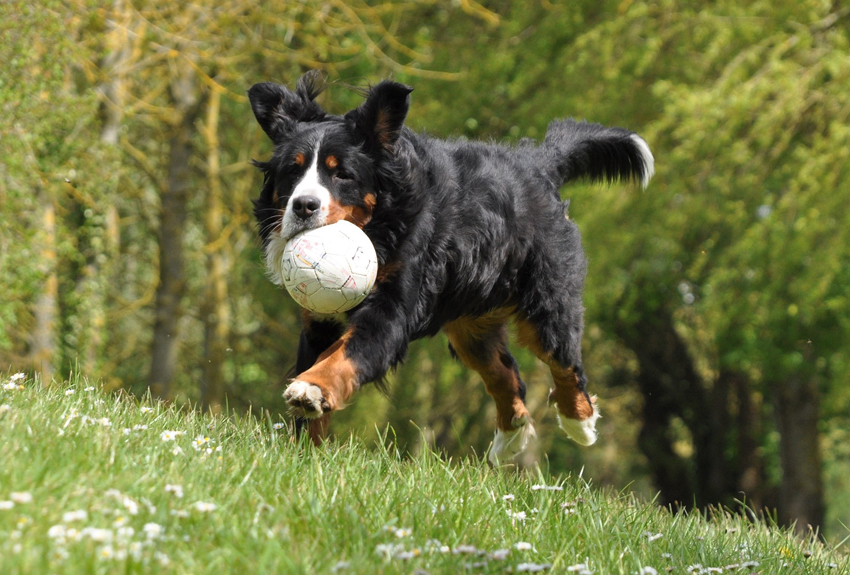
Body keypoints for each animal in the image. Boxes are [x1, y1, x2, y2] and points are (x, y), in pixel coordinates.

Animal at [248, 72, 652, 466]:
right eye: (292, 171)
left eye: (342, 174)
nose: (304, 206)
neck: (380, 225)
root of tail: (537, 165)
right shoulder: (320, 319)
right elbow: (317, 371)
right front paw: (305, 452)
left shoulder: (391, 310)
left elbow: (344, 355)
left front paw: (311, 389)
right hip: (471, 325)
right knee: (506, 375)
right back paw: (510, 439)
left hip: (548, 303)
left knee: (566, 364)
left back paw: (579, 423)